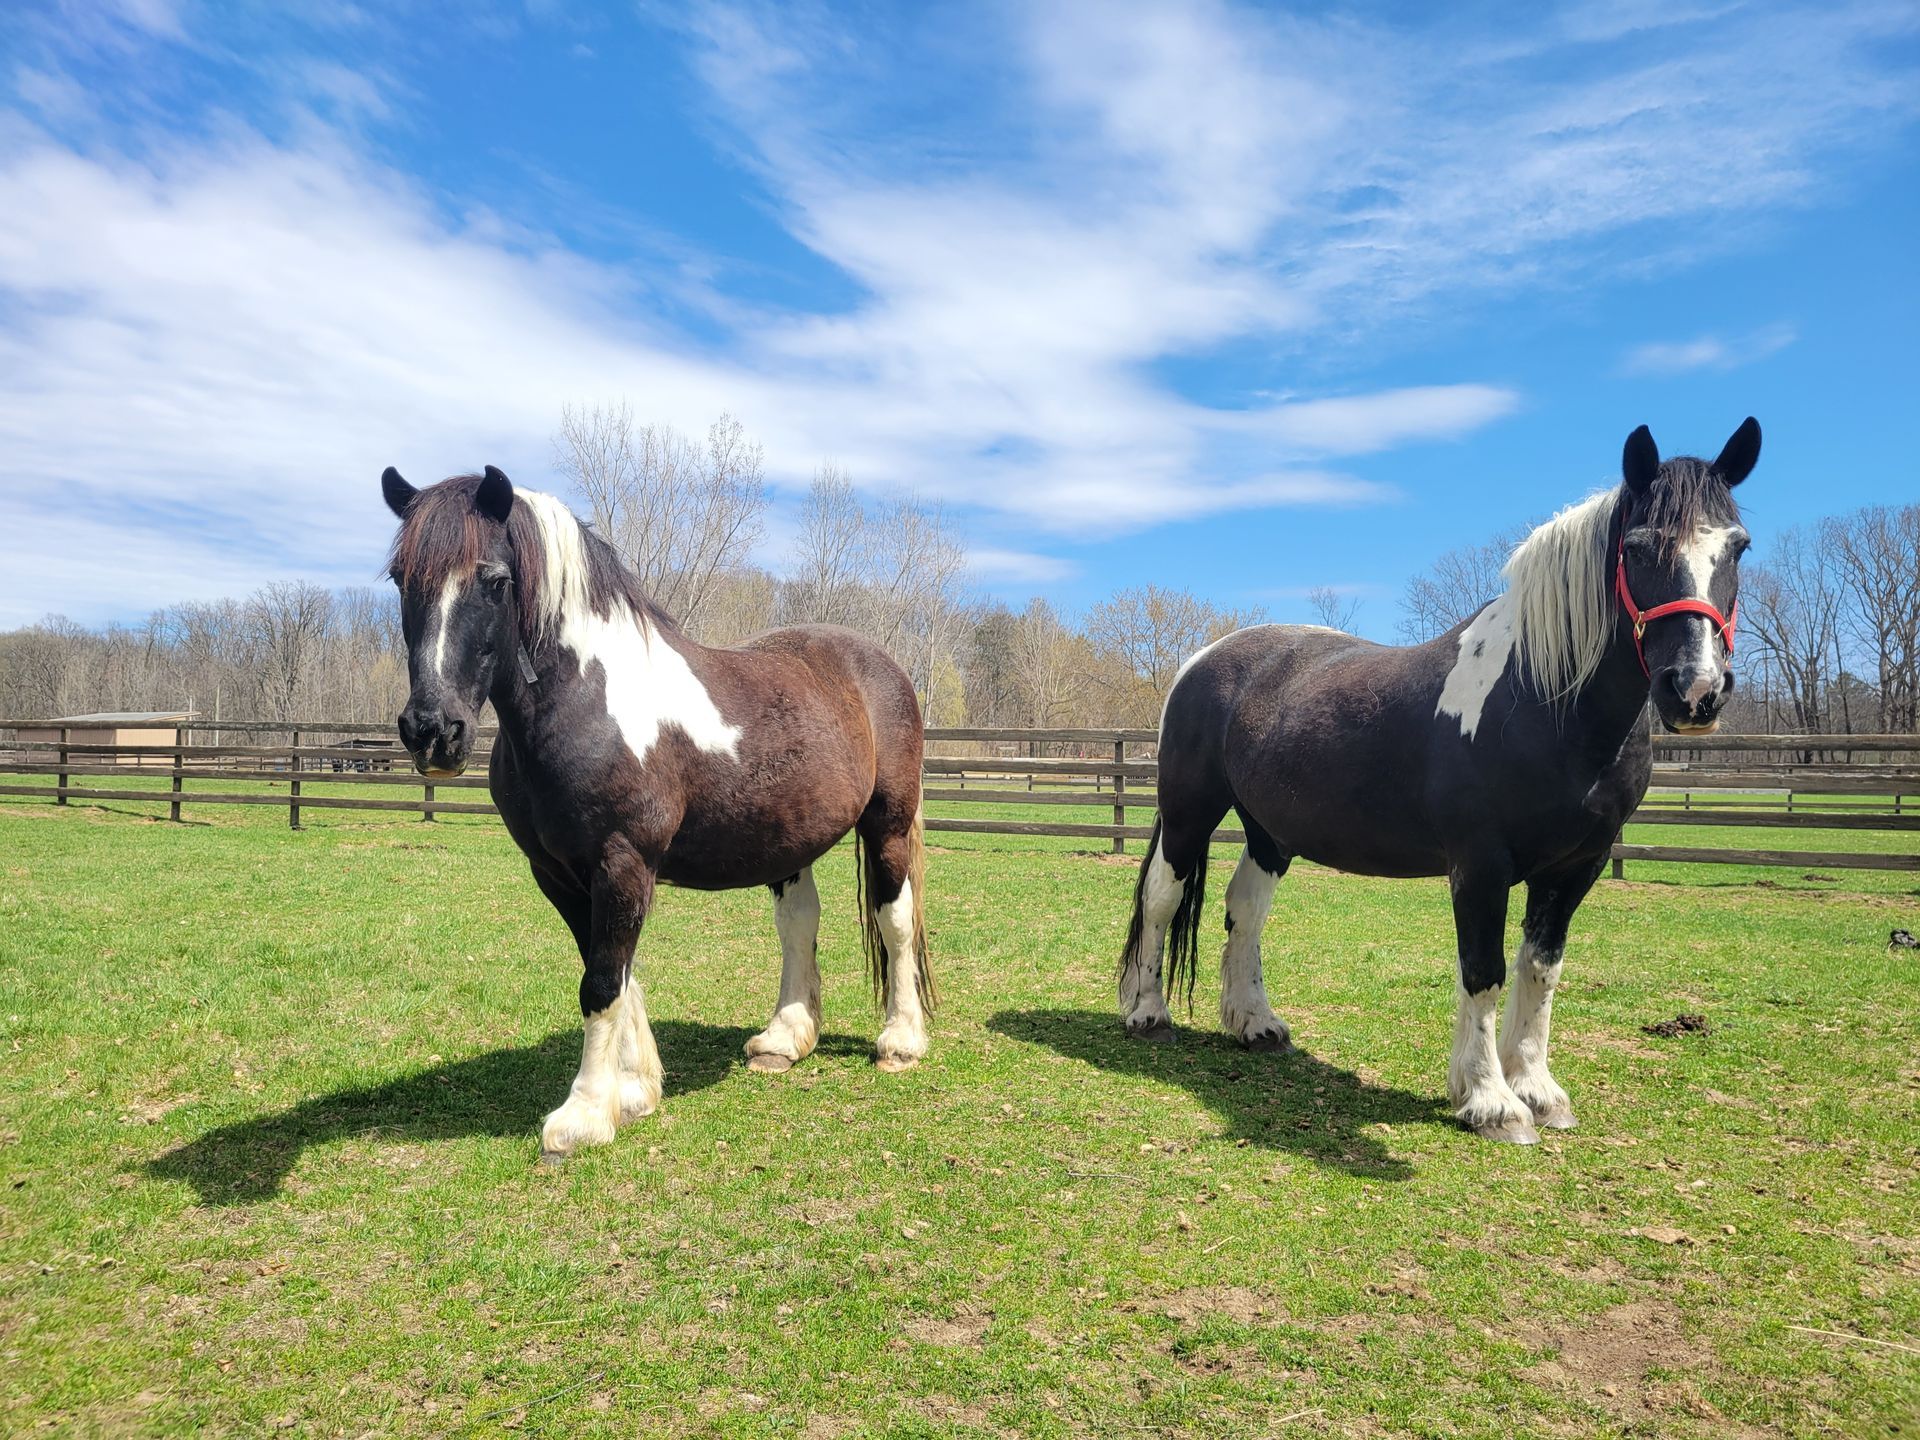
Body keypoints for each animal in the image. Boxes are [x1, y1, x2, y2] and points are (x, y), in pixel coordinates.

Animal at [379, 465, 934, 1161]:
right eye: (401, 578)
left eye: (495, 581)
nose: (432, 731)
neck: (588, 700)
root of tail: (879, 665)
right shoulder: (560, 874)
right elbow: (611, 971)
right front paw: (635, 1088)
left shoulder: (622, 863)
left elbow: (600, 983)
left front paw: (584, 1116)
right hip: (789, 841)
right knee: (798, 924)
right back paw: (784, 1039)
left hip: (888, 824)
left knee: (896, 921)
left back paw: (901, 1041)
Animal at [1118, 418, 1761, 1144]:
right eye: (1639, 546)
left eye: (1737, 546)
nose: (1696, 690)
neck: (1541, 700)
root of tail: (1204, 658)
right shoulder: (1480, 865)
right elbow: (1483, 971)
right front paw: (1491, 1102)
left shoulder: (1577, 867)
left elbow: (1540, 969)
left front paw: (1537, 1089)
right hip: (1189, 812)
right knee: (1163, 897)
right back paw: (1147, 1014)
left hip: (1269, 831)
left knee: (1245, 909)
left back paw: (1256, 1024)